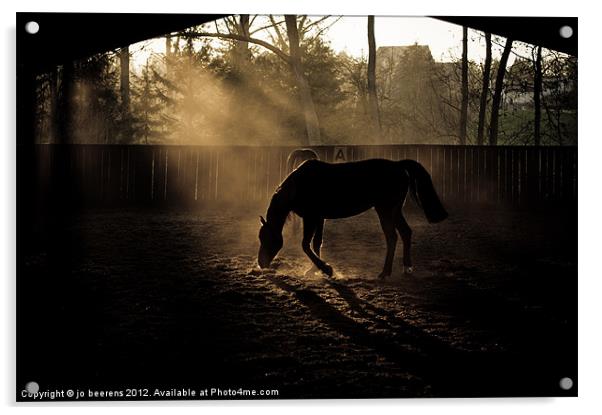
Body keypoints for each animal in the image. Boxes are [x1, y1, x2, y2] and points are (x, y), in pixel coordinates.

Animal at [255, 158, 448, 282]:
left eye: (267, 239)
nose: (261, 264)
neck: (300, 185)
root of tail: (398, 165)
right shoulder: (319, 218)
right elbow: (317, 243)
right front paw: (315, 269)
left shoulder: (311, 217)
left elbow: (305, 245)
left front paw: (327, 269)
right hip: (395, 211)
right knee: (406, 233)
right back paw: (407, 268)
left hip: (385, 211)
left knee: (392, 237)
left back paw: (385, 273)